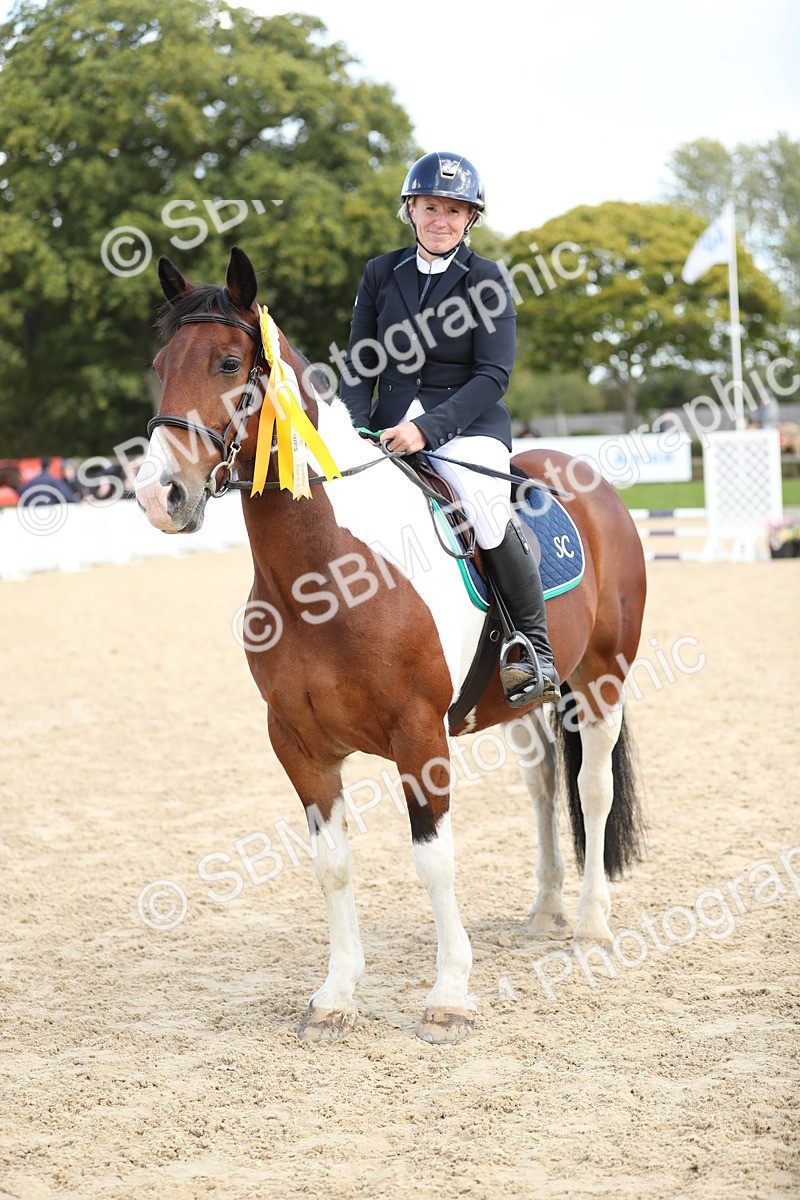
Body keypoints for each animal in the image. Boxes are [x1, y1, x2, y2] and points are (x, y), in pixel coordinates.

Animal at [135, 246, 647, 1044]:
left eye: (228, 363)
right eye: (161, 363)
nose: (161, 496)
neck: (326, 576)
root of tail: (589, 478)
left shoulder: (418, 735)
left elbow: (434, 861)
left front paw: (450, 996)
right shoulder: (298, 744)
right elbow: (333, 864)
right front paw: (336, 997)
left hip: (602, 680)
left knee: (592, 788)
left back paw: (592, 924)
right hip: (528, 699)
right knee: (542, 787)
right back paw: (544, 912)